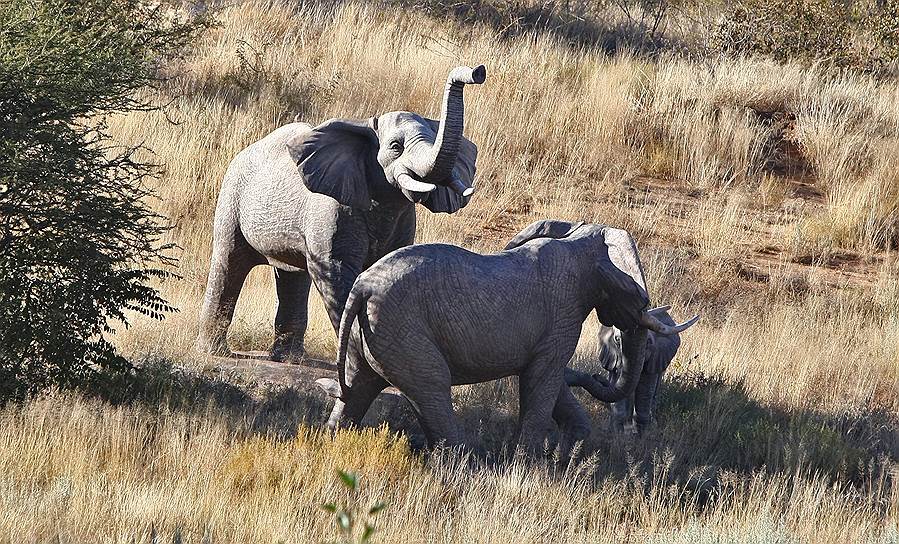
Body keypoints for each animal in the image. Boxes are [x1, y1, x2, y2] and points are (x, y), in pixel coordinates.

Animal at [197, 65, 488, 362]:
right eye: (396, 146)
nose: (477, 72)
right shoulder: (332, 210)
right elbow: (336, 270)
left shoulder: (403, 217)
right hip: (232, 195)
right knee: (229, 262)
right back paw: (215, 352)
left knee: (294, 274)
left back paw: (289, 358)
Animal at [320, 219, 700, 452]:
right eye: (638, 298)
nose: (594, 375)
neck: (579, 241)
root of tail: (363, 287)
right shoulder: (563, 312)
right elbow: (544, 379)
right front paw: (529, 470)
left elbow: (548, 382)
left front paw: (570, 451)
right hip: (402, 330)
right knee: (432, 388)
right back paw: (463, 467)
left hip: (369, 335)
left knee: (357, 388)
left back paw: (330, 445)